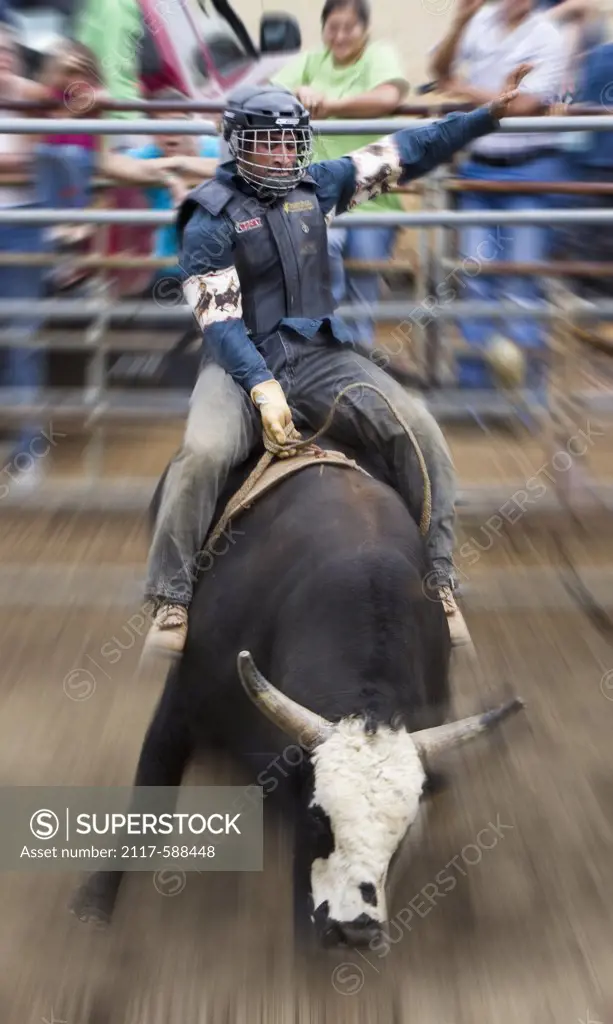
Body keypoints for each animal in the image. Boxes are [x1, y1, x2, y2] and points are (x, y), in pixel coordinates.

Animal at [70, 419, 521, 946]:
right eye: (317, 814)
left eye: (404, 830)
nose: (356, 931)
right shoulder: (181, 706)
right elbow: (148, 797)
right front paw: (95, 901)